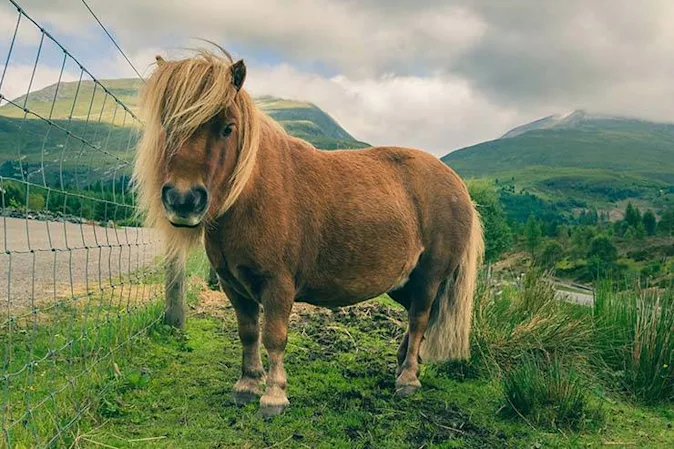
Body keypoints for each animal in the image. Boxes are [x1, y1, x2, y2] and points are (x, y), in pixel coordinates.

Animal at [132, 48, 484, 417]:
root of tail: (458, 185)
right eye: (167, 124)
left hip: (430, 277)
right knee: (418, 317)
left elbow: (274, 336)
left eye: (227, 128)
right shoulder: (234, 285)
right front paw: (247, 385)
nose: (183, 200)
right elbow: (247, 333)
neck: (251, 195)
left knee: (419, 319)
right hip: (403, 282)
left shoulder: (278, 284)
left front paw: (274, 395)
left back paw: (408, 378)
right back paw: (402, 364)